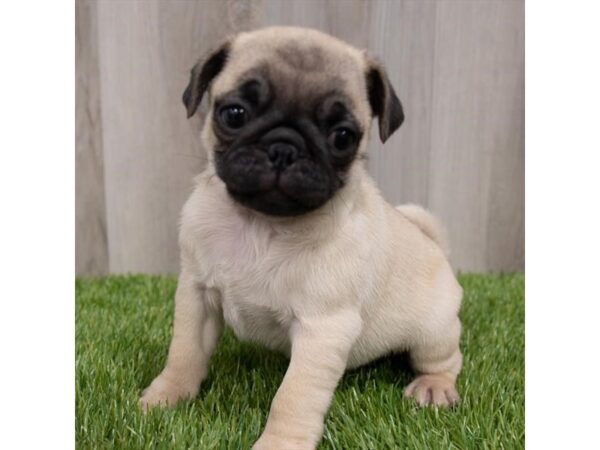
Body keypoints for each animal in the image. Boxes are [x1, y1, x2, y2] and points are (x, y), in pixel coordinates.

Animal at [141, 26, 464, 448]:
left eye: (342, 137)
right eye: (234, 114)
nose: (284, 147)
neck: (260, 224)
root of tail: (435, 245)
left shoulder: (322, 329)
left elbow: (293, 395)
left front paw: (280, 443)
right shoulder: (196, 295)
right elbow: (184, 352)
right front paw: (166, 396)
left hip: (433, 330)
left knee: (445, 358)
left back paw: (434, 386)